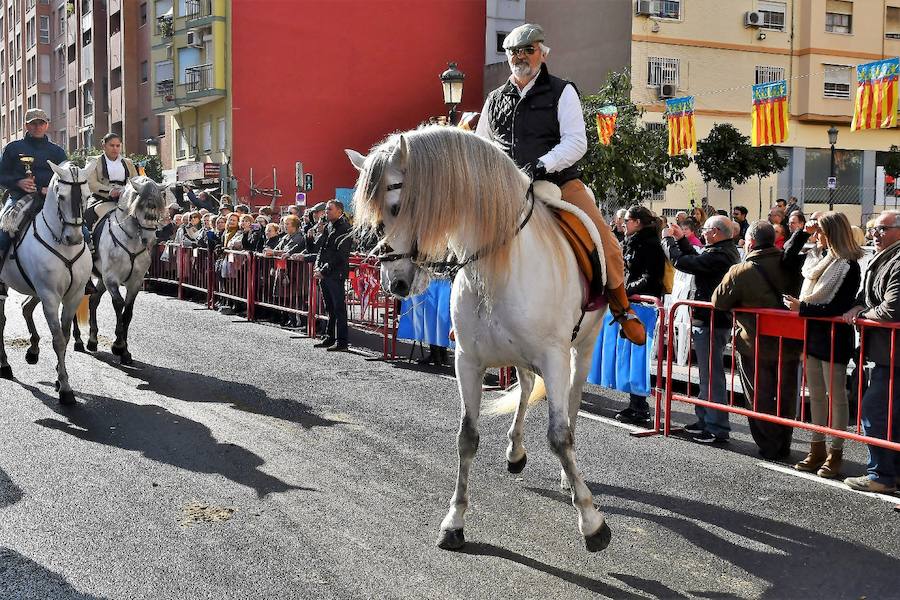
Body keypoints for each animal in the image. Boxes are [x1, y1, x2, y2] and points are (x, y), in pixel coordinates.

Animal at [0, 161, 93, 404]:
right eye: (61, 196)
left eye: (87, 195)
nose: (74, 238)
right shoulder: (50, 296)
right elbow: (58, 339)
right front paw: (66, 389)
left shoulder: (73, 295)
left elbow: (65, 335)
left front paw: (60, 378)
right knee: (2, 320)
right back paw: (5, 365)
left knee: (25, 307)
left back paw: (32, 351)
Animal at [71, 176, 168, 364]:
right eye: (141, 206)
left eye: (158, 208)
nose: (150, 239)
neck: (131, 240)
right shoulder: (112, 279)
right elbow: (118, 304)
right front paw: (118, 346)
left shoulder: (135, 282)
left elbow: (128, 312)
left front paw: (125, 352)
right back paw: (78, 341)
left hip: (100, 280)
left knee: (93, 300)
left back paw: (92, 341)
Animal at [348, 126, 616, 552]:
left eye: (395, 205)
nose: (396, 283)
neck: (498, 261)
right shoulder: (468, 361)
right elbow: (467, 437)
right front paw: (454, 521)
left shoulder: (555, 358)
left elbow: (559, 436)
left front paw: (591, 521)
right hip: (520, 357)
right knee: (526, 388)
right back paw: (516, 450)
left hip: (582, 349)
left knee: (572, 403)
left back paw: (565, 477)